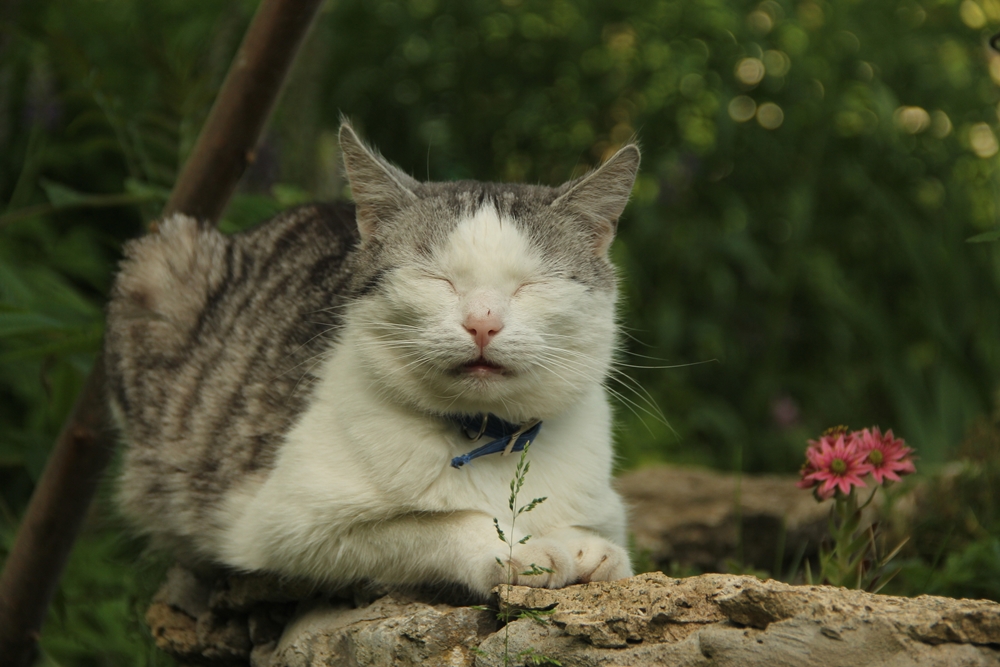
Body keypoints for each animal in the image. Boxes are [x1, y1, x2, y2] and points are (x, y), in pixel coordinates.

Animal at [105, 122, 640, 596]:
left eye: (532, 284)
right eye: (436, 279)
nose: (482, 324)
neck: (490, 438)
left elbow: (599, 538)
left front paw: (584, 547)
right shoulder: (281, 525)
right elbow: (440, 523)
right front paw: (519, 548)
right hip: (161, 260)